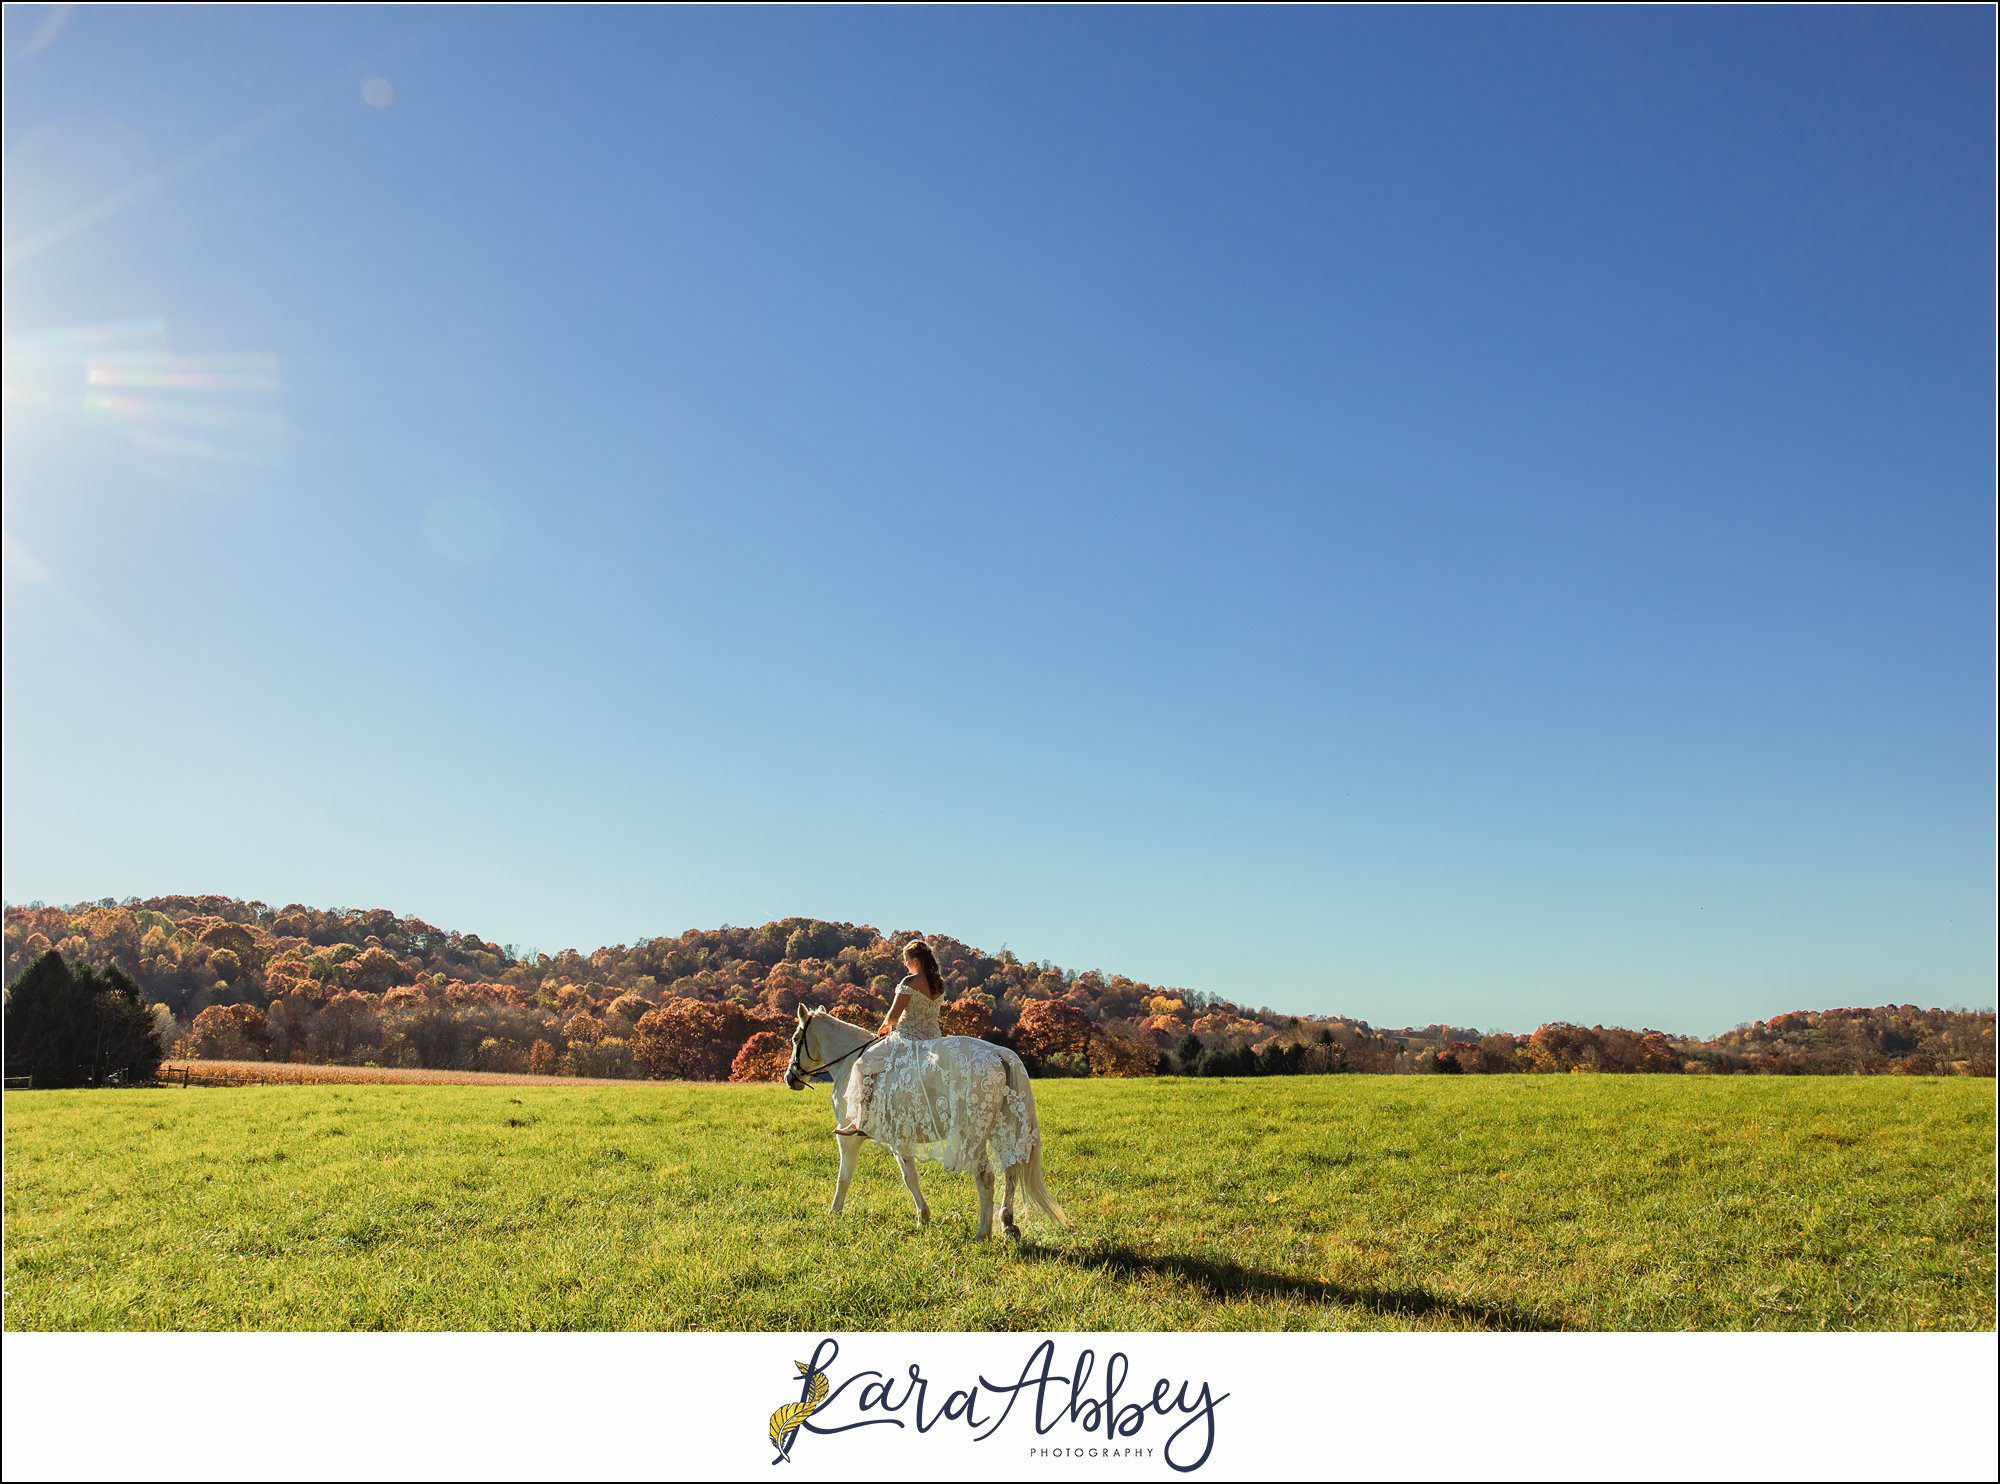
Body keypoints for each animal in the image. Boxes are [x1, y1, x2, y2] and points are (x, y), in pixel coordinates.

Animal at [782, 1006, 1066, 1240]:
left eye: (796, 1039)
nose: (789, 1078)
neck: (849, 1062)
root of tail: (998, 1054)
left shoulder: (849, 1138)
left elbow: (845, 1176)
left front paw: (834, 1213)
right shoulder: (901, 1138)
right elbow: (910, 1177)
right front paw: (923, 1217)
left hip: (974, 1135)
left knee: (986, 1177)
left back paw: (983, 1233)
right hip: (1002, 1128)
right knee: (1011, 1171)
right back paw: (1007, 1224)